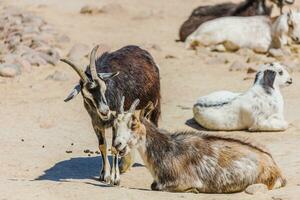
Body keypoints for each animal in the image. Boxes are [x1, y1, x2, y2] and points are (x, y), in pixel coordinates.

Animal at [59, 44, 161, 185]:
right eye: (86, 96)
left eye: (104, 87)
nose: (105, 111)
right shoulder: (96, 123)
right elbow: (102, 146)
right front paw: (104, 175)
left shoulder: (115, 121)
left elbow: (114, 146)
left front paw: (115, 178)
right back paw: (125, 164)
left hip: (151, 104)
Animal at [112, 99, 286, 193]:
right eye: (115, 124)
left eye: (133, 124)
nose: (117, 144)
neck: (166, 149)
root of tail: (276, 169)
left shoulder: (181, 181)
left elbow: (158, 187)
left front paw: (194, 190)